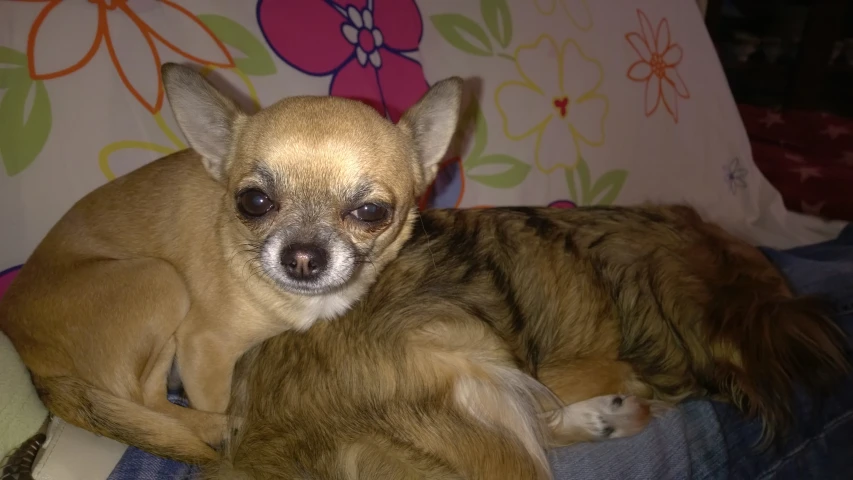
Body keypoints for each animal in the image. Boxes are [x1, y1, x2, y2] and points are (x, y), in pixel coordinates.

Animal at [0, 65, 466, 464]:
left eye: (371, 212)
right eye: (254, 202)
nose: (302, 256)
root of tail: (32, 362)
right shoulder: (204, 349)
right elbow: (211, 395)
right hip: (160, 279)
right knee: (144, 401)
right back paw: (215, 429)